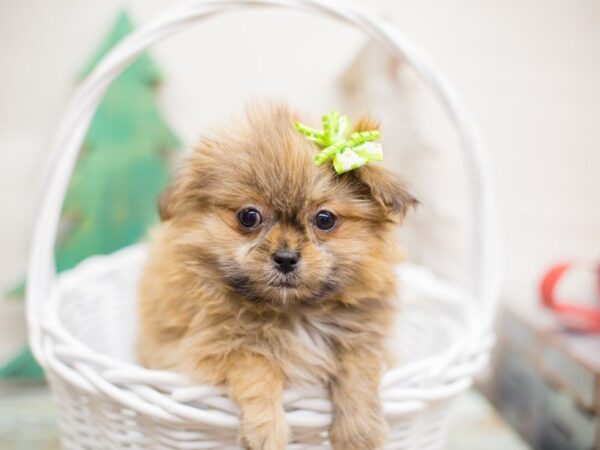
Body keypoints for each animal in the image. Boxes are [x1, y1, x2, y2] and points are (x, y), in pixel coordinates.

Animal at [138, 103, 414, 450]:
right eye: (248, 216)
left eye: (325, 219)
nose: (285, 258)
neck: (294, 313)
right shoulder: (212, 348)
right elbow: (258, 367)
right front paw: (266, 430)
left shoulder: (364, 334)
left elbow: (359, 367)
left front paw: (359, 431)